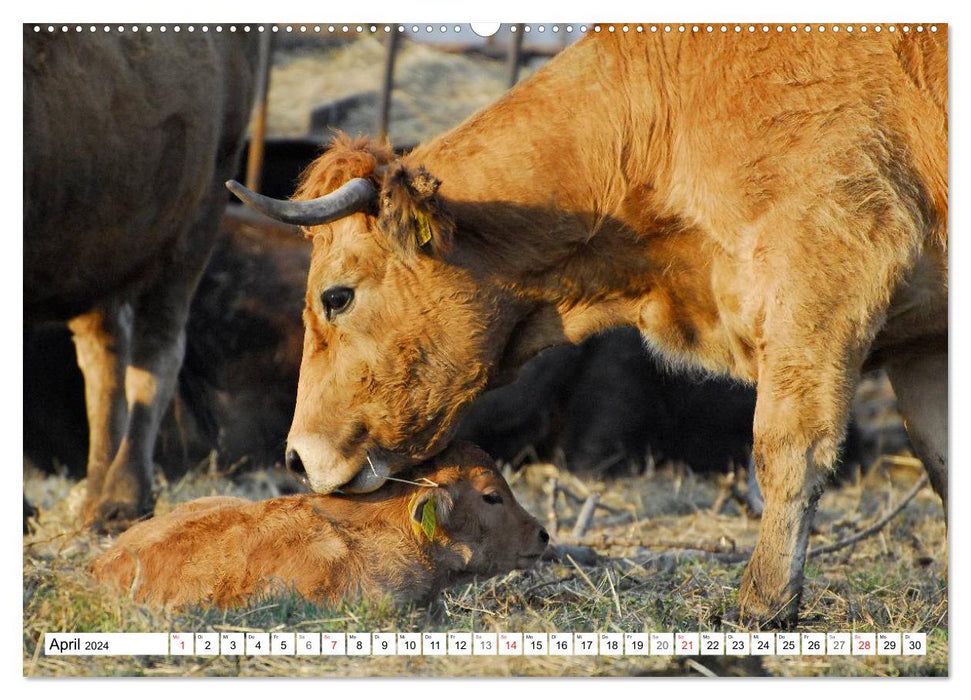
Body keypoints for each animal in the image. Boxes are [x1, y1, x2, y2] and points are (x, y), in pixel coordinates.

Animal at [230, 28, 948, 628]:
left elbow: (786, 450)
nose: (296, 457)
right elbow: (941, 459)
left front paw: (763, 603)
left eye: (337, 296)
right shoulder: (923, 343)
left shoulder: (818, 278)